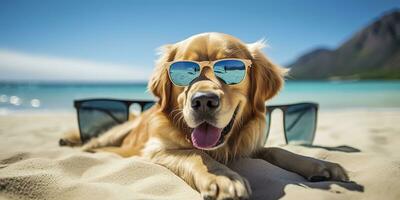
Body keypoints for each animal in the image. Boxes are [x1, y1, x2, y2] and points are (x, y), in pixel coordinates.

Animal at [61, 32, 348, 200]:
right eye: (183, 71)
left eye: (231, 69)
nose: (203, 101)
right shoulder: (157, 148)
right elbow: (194, 154)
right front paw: (222, 177)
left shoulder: (250, 145)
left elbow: (279, 150)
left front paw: (319, 165)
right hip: (114, 133)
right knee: (92, 144)